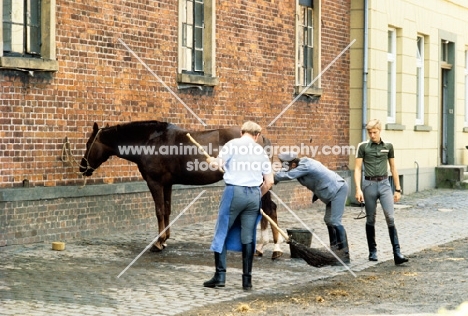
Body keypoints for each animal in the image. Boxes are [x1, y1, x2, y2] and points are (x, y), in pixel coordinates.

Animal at [79, 119, 282, 258]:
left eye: (89, 144)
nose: (82, 167)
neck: (149, 141)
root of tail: (261, 138)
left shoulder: (154, 182)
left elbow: (159, 210)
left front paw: (158, 243)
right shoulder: (167, 184)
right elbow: (167, 210)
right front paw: (165, 239)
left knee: (269, 209)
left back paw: (274, 248)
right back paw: (263, 248)